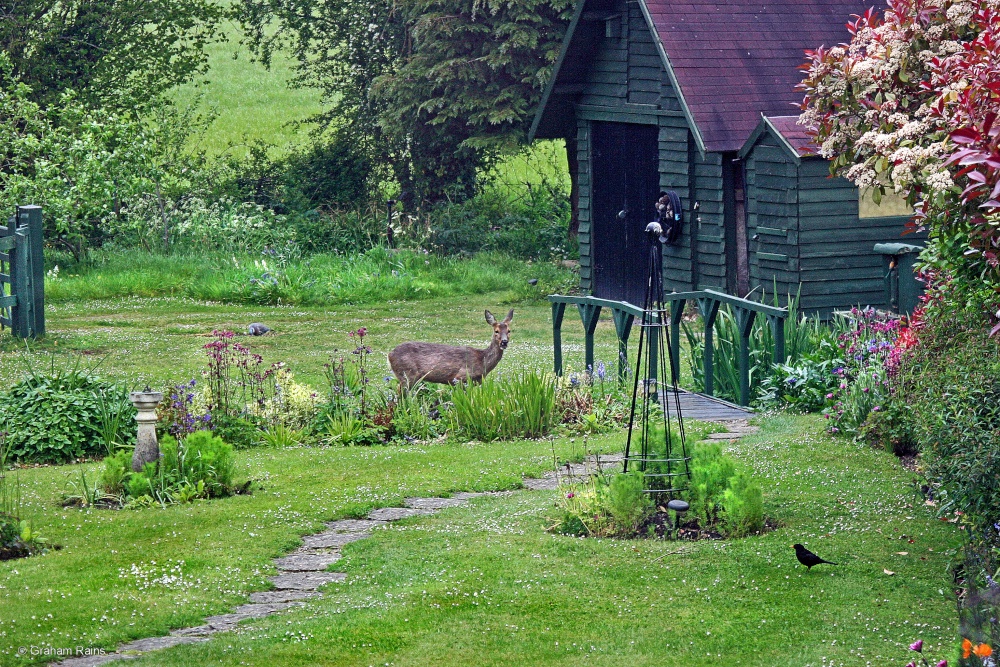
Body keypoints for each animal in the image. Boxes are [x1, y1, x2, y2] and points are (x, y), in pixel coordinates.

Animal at [388, 310, 516, 388]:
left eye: (509, 331)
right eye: (496, 331)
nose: (504, 342)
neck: (482, 361)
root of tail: (389, 355)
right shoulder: (460, 377)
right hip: (407, 375)